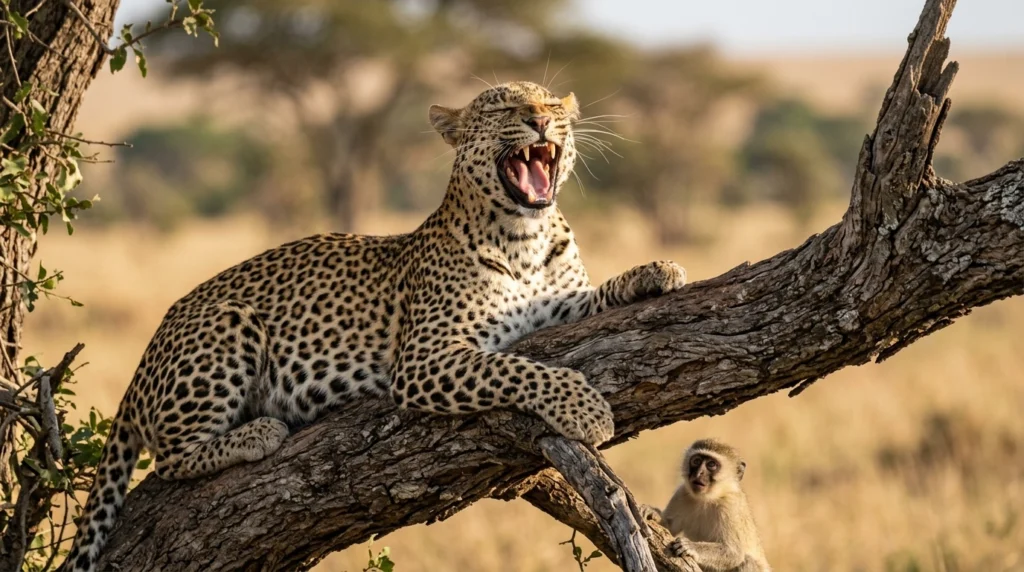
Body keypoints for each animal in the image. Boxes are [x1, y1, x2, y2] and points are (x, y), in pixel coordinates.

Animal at [61, 81, 687, 571]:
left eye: (553, 103)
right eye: (504, 107)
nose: (540, 120)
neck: (525, 236)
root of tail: (144, 360)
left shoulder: (559, 303)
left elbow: (593, 296)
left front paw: (656, 271)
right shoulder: (427, 357)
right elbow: (517, 368)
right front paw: (586, 410)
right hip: (225, 324)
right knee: (170, 459)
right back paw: (258, 432)